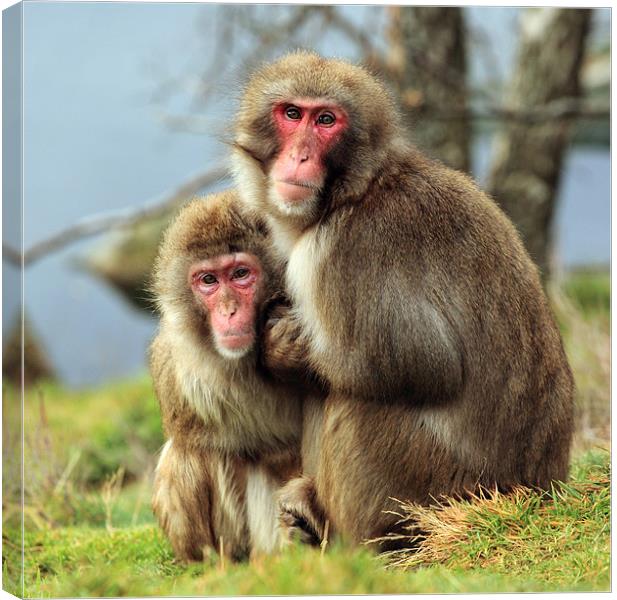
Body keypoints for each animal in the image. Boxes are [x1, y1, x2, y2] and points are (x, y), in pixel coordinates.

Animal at [230, 54, 572, 552]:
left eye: (326, 120)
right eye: (292, 114)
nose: (300, 156)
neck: (354, 192)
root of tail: (538, 491)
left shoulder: (344, 254)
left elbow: (418, 363)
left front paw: (282, 349)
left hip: (438, 487)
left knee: (355, 400)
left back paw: (357, 540)